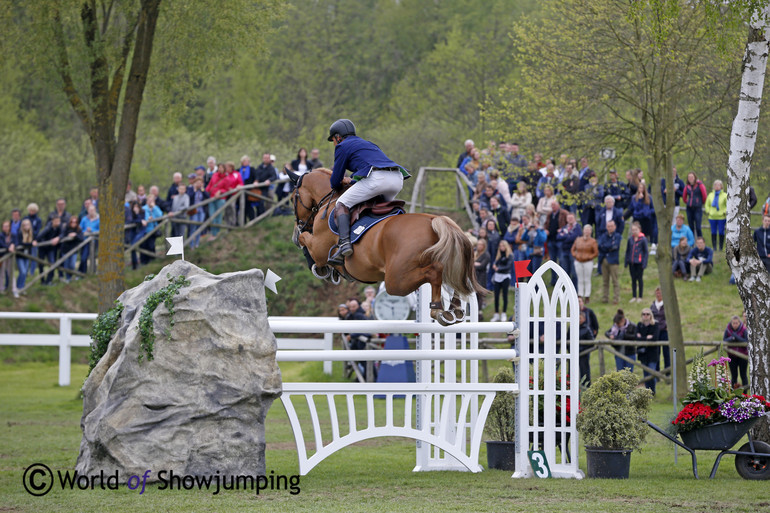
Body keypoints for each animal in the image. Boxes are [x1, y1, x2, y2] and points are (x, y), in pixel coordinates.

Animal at [284, 169, 484, 324]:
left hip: (396, 281)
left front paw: (320, 268)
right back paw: (455, 309)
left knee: (435, 272)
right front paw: (331, 271)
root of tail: (435, 220)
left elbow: (305, 241)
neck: (329, 202)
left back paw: (438, 310)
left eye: (293, 198)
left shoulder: (318, 248)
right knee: (457, 279)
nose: (293, 233)